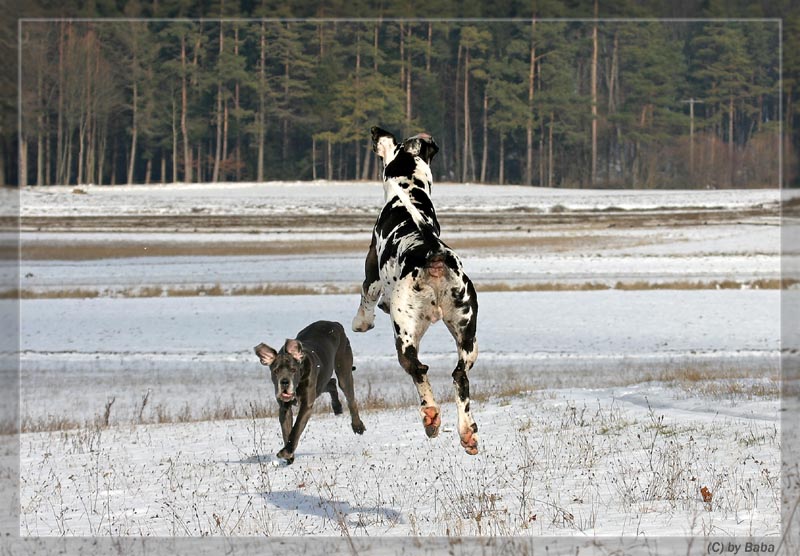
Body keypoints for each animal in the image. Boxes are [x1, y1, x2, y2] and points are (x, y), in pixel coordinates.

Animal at [253, 320, 366, 462]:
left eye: (293, 370)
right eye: (276, 371)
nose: (284, 382)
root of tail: (335, 323)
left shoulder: (307, 404)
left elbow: (296, 428)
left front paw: (286, 452)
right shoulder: (284, 407)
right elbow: (286, 430)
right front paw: (289, 456)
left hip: (343, 370)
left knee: (350, 398)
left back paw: (358, 426)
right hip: (321, 382)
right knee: (331, 383)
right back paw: (337, 407)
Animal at [354, 126, 478, 456]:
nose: (375, 131)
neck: (407, 194)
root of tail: (433, 256)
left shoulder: (372, 269)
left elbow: (366, 295)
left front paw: (361, 322)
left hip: (405, 334)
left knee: (419, 370)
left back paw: (431, 417)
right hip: (467, 335)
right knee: (459, 376)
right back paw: (467, 434)